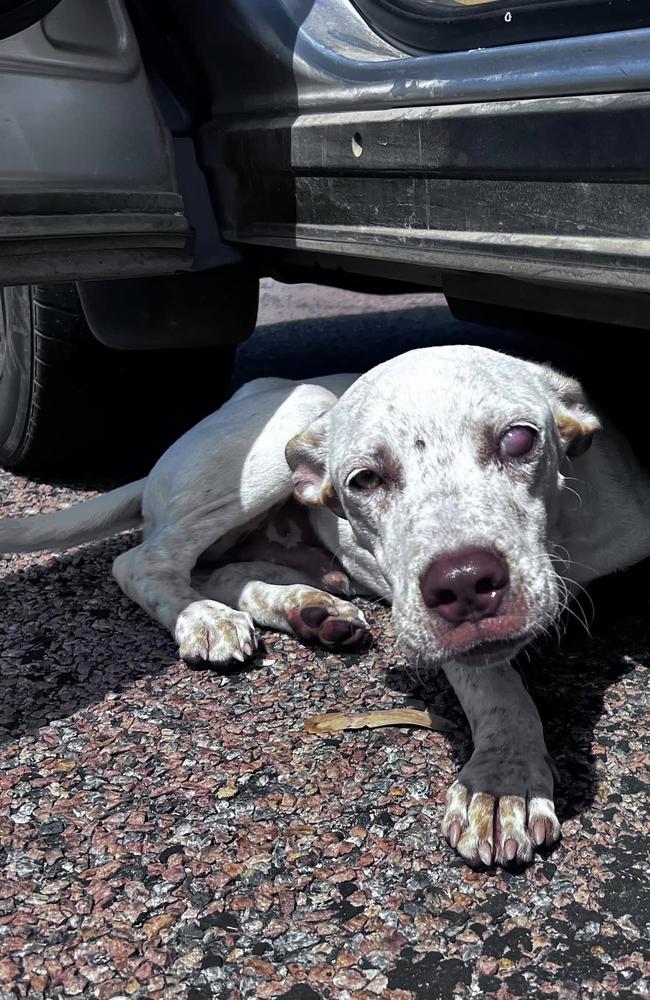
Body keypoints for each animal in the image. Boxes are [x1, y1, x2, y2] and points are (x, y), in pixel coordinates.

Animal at [2, 346, 644, 868]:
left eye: (518, 439)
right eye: (363, 480)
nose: (462, 585)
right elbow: (496, 688)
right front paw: (503, 780)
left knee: (223, 570)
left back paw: (306, 607)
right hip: (276, 439)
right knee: (142, 562)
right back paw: (206, 618)